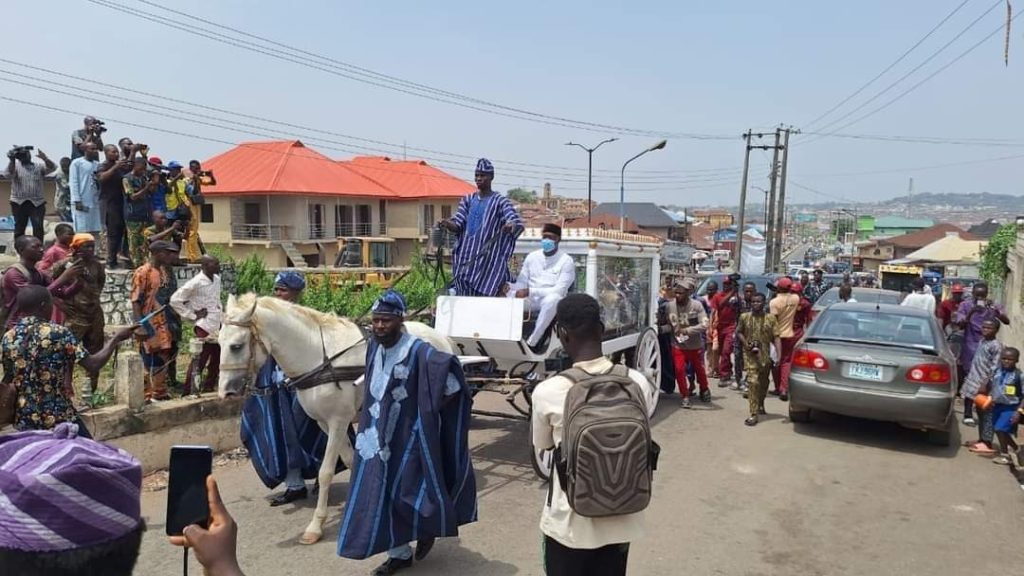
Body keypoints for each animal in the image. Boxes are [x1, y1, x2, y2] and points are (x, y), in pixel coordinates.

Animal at [219, 293, 452, 541]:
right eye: (219, 343)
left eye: (236, 346)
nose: (225, 393)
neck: (318, 358)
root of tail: (440, 336)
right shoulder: (324, 423)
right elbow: (348, 460)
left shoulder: (338, 421)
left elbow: (325, 472)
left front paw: (316, 525)